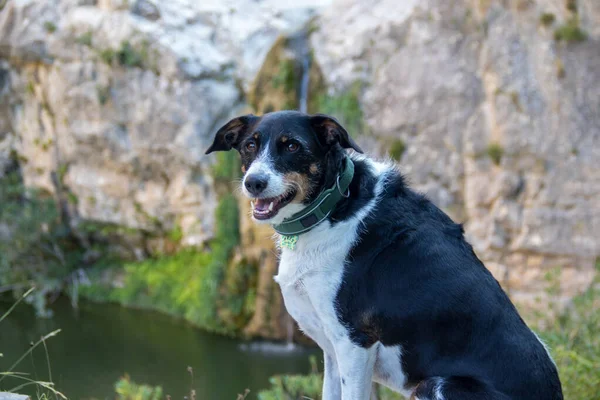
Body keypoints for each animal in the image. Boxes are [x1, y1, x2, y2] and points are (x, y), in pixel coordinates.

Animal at [206, 110, 564, 400]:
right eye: (249, 146)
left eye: (292, 146)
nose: (253, 183)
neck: (333, 207)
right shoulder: (333, 349)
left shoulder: (354, 343)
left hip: (437, 385)